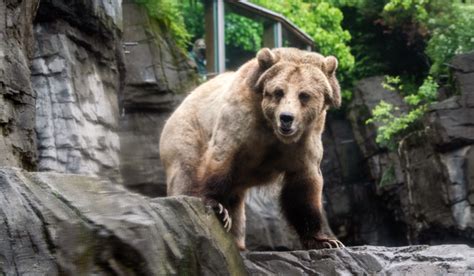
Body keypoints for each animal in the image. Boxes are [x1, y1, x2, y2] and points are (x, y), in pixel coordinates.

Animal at [161, 47, 342, 250]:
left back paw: (237, 241)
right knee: (186, 172)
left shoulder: (306, 140)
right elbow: (221, 157)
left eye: (304, 95)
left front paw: (325, 240)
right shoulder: (240, 120)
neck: (271, 129)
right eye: (278, 92)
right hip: (187, 133)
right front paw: (216, 206)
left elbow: (303, 186)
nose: (286, 118)